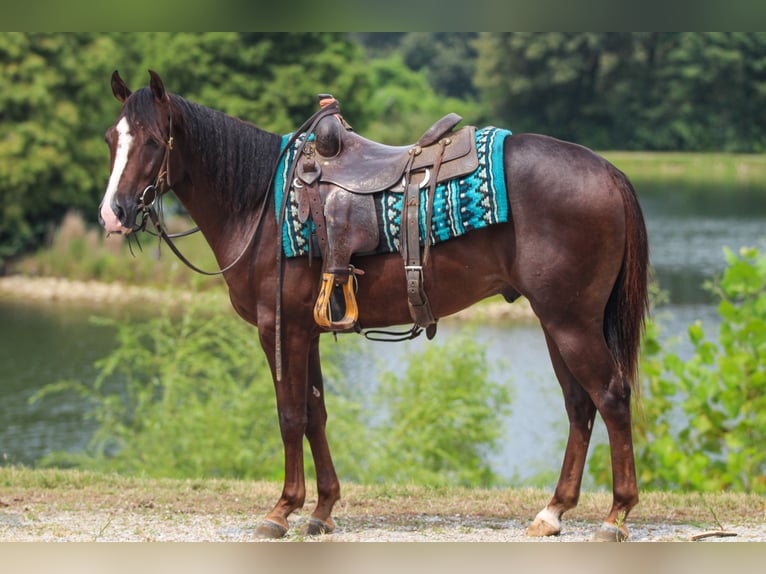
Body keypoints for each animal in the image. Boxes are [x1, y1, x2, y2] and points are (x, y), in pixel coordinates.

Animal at [99, 70, 649, 541]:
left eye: (153, 141)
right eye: (110, 138)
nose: (114, 213)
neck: (259, 205)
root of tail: (607, 170)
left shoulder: (279, 328)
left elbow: (289, 416)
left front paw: (282, 510)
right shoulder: (306, 330)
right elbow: (315, 413)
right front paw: (322, 509)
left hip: (571, 321)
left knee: (611, 396)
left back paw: (616, 515)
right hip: (556, 320)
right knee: (579, 405)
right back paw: (553, 512)